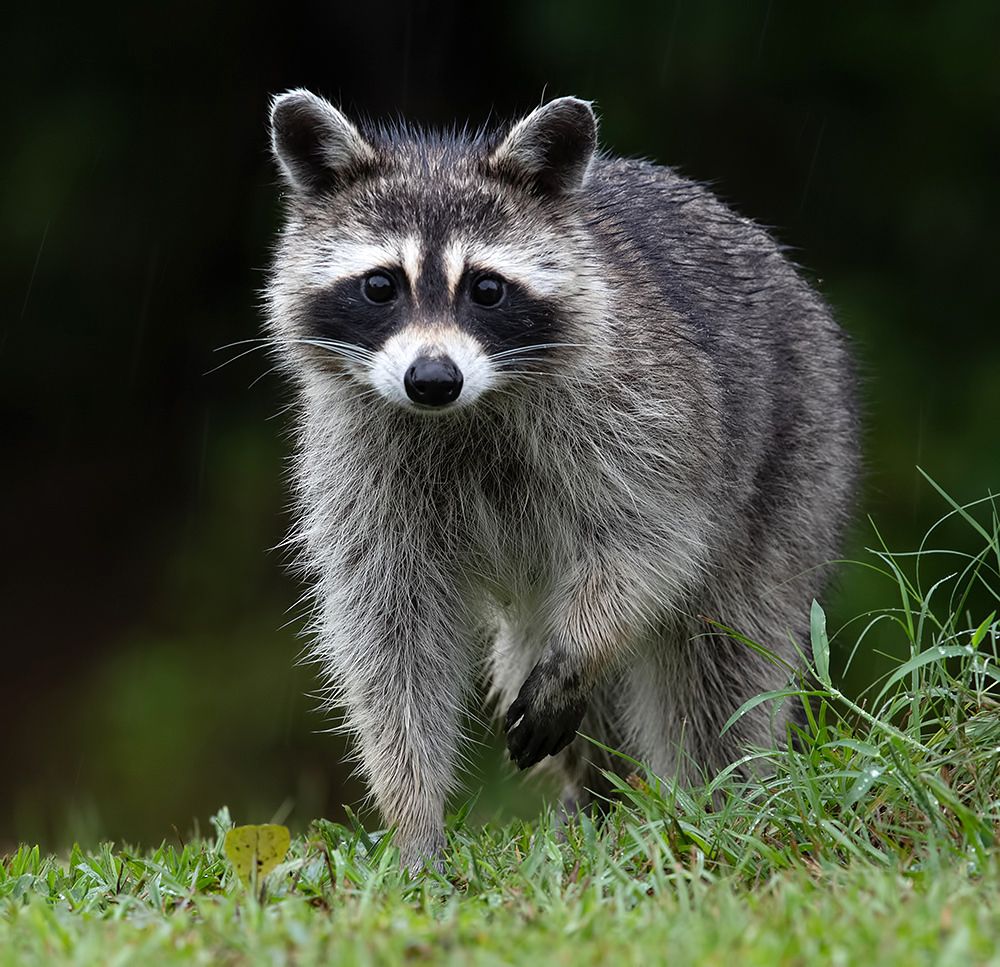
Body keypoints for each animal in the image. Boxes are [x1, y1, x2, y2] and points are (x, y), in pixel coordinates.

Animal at [265, 90, 858, 870]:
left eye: (486, 288)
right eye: (380, 286)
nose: (432, 380)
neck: (467, 411)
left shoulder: (648, 413)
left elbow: (650, 544)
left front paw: (581, 653)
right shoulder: (359, 458)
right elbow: (390, 632)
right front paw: (413, 818)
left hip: (799, 453)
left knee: (722, 656)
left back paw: (719, 798)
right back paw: (594, 797)